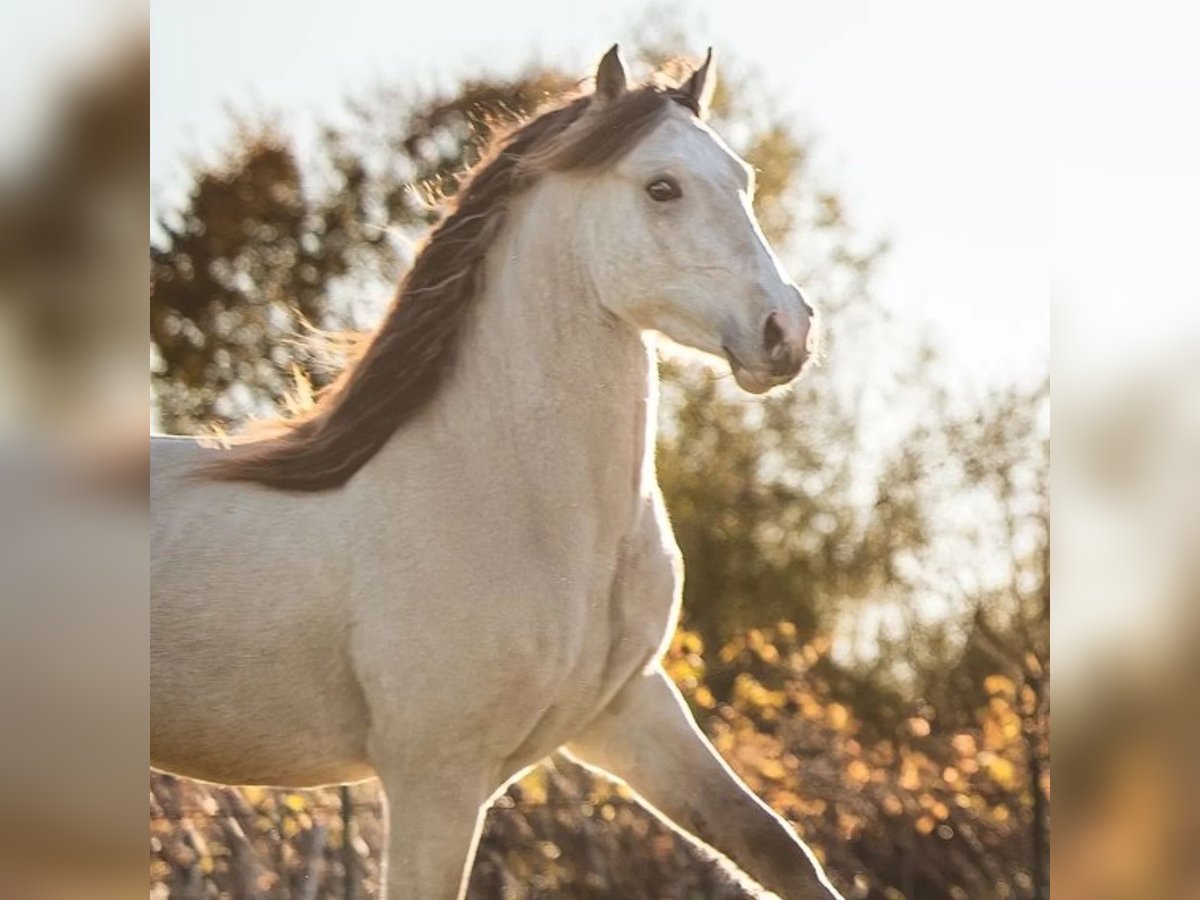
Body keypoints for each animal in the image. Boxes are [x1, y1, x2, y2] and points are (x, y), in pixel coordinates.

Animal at [152, 44, 844, 900]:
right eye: (661, 187)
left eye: (743, 179)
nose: (787, 332)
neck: (514, 503)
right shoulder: (435, 776)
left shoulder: (628, 710)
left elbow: (775, 848)